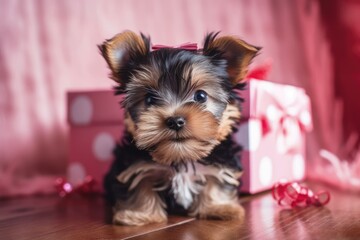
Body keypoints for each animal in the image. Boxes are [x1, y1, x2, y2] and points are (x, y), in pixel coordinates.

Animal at [99, 30, 258, 225]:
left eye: (201, 96)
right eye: (150, 99)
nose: (175, 121)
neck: (181, 157)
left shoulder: (221, 160)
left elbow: (217, 181)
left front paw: (219, 208)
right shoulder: (134, 164)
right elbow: (139, 184)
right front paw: (139, 214)